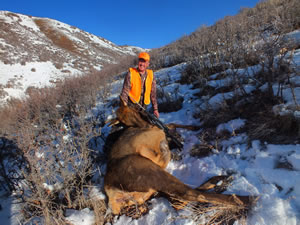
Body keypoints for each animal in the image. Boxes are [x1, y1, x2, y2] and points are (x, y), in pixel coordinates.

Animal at [103, 101, 255, 217]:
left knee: (178, 201)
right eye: (122, 121)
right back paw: (245, 199)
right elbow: (170, 126)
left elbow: (172, 124)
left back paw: (217, 180)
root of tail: (112, 195)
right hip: (148, 171)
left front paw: (195, 126)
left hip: (151, 191)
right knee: (190, 193)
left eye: (131, 108)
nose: (144, 121)